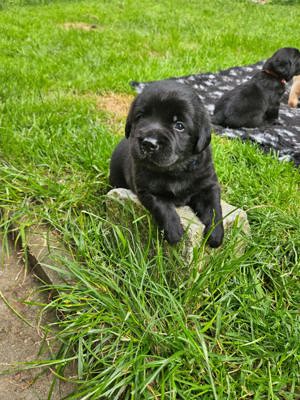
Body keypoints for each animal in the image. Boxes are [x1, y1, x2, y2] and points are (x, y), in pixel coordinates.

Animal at [109, 81, 224, 247]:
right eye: (140, 117)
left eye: (179, 125)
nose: (148, 143)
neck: (176, 170)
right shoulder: (146, 189)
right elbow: (162, 205)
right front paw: (174, 231)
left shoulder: (208, 184)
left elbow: (214, 208)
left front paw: (215, 234)